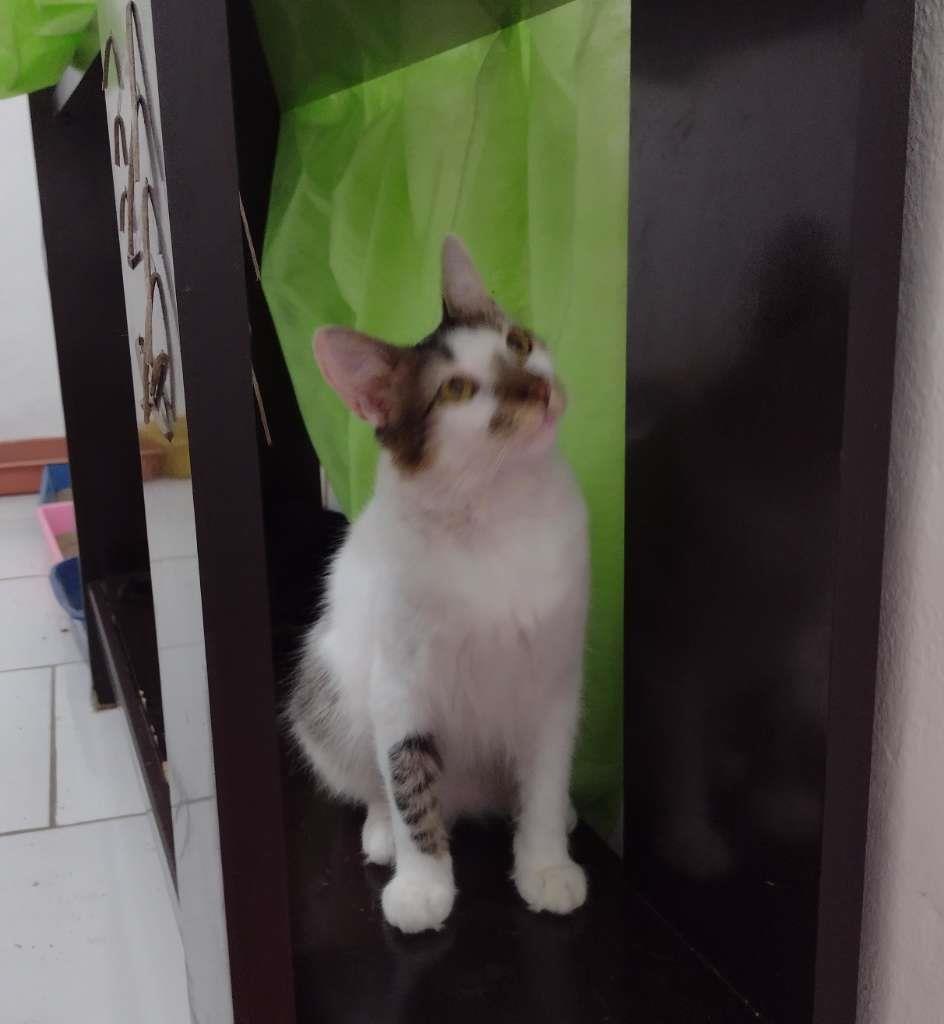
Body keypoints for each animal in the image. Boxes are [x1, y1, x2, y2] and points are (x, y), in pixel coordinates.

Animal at [287, 236, 588, 934]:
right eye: (455, 390)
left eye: (519, 343)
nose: (537, 387)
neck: (501, 510)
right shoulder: (400, 686)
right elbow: (407, 780)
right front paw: (422, 885)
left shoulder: (554, 681)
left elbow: (544, 779)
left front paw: (544, 865)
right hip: (329, 689)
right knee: (373, 785)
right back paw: (382, 838)